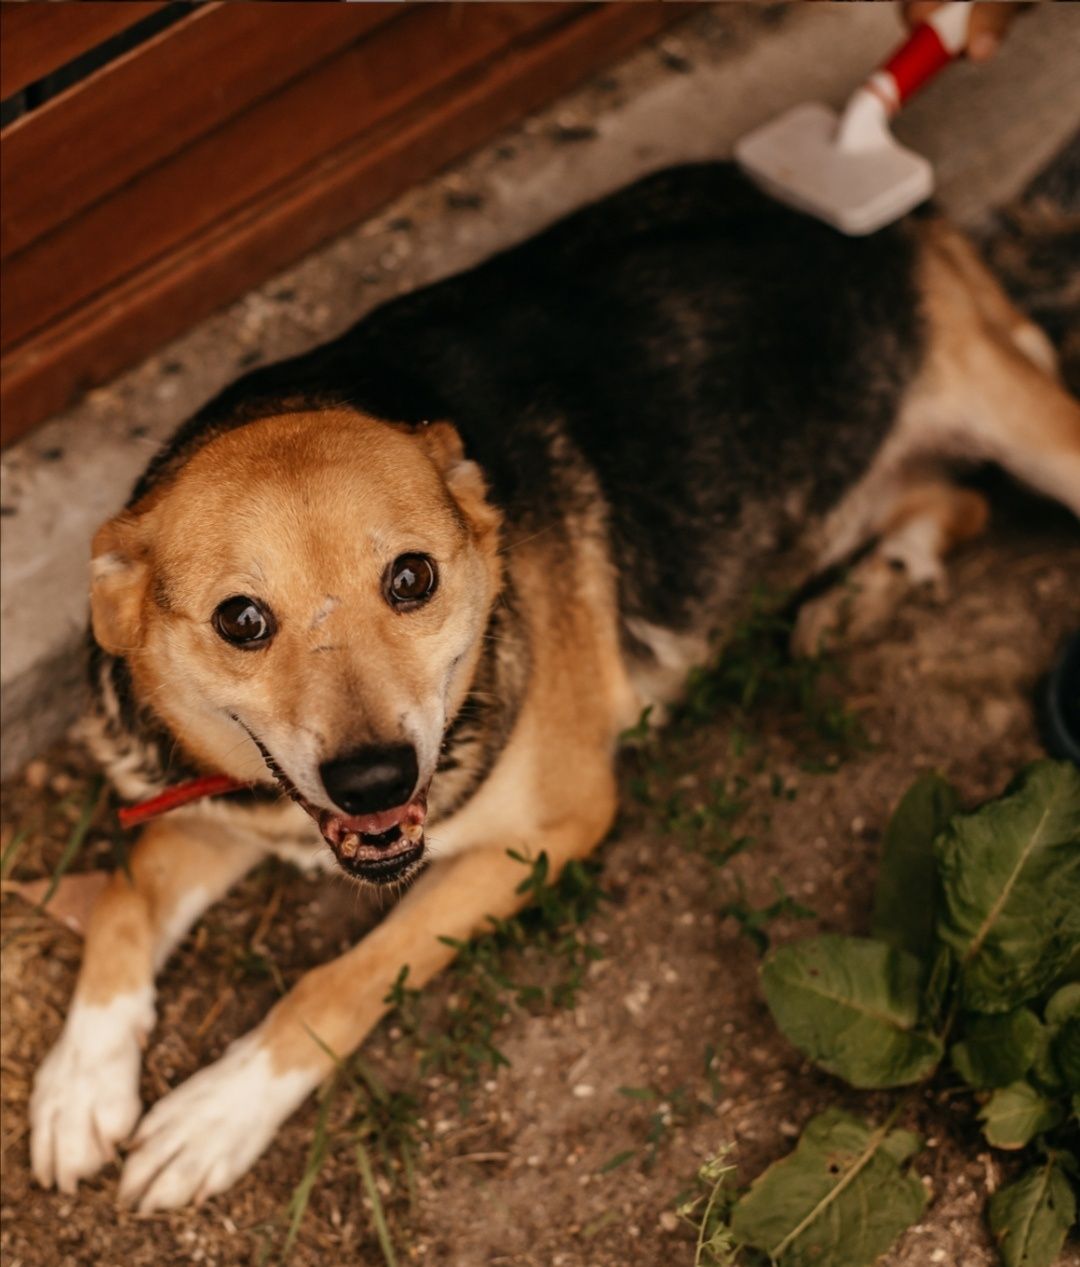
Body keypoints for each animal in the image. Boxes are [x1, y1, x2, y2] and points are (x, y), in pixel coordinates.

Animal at [27, 165, 1080, 1206]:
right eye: (240, 621)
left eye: (412, 577)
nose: (374, 780)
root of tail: (891, 215)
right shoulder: (220, 799)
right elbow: (120, 895)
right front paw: (80, 1080)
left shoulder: (549, 828)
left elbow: (342, 975)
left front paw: (222, 1107)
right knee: (958, 501)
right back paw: (868, 586)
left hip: (1029, 426)